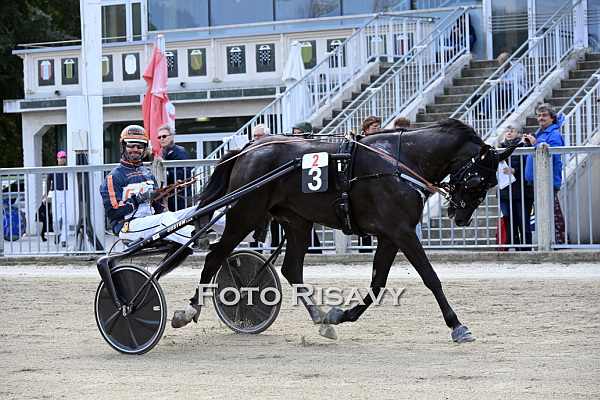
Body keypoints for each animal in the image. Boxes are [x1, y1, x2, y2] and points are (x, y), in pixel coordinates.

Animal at [176, 119, 514, 343]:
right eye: (477, 180)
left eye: (490, 184)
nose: (461, 217)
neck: (400, 162)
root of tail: (249, 147)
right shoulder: (402, 231)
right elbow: (430, 278)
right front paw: (457, 325)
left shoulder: (389, 236)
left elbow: (377, 284)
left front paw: (342, 315)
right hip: (245, 214)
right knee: (214, 257)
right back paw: (189, 310)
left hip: (298, 222)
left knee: (290, 269)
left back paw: (321, 318)